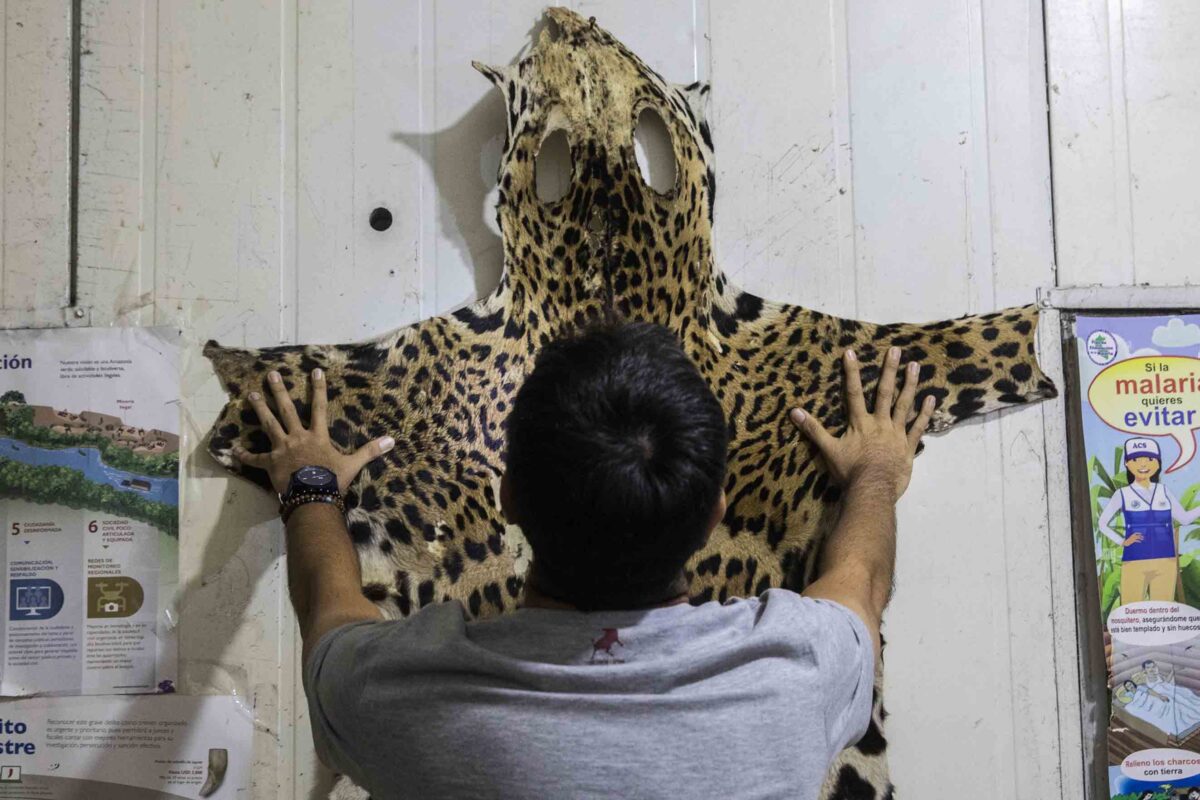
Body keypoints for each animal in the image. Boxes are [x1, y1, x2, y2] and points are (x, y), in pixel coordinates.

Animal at [203, 9, 1057, 799]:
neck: (611, 249)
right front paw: (265, 399)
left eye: (625, 60)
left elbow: (943, 347)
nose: (564, 16)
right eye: (544, 66)